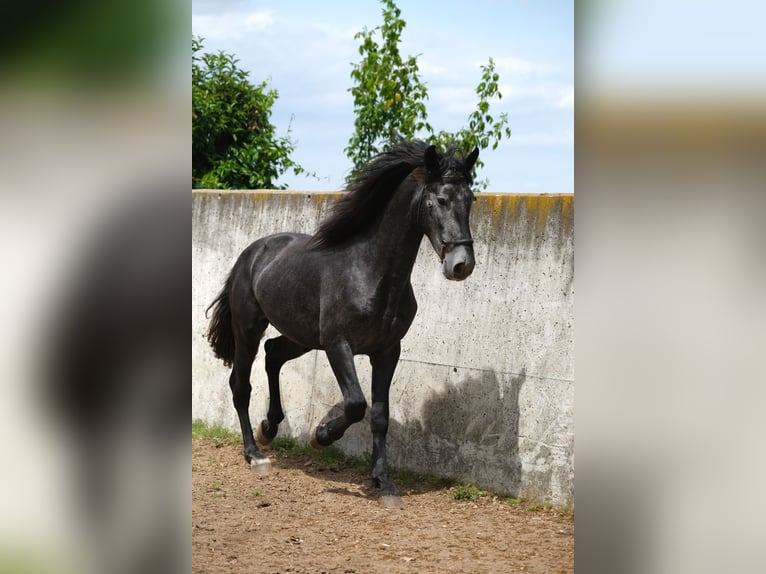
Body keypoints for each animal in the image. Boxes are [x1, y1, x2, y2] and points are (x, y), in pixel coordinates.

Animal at [207, 142, 476, 502]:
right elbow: (356, 404)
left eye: (470, 200)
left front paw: (383, 482)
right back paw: (255, 454)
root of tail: (250, 254)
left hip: (301, 337)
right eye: (440, 200)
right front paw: (319, 435)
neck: (370, 272)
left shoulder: (387, 351)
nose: (462, 264)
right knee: (241, 385)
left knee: (273, 354)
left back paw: (270, 428)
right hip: (248, 329)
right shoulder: (338, 345)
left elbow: (379, 415)